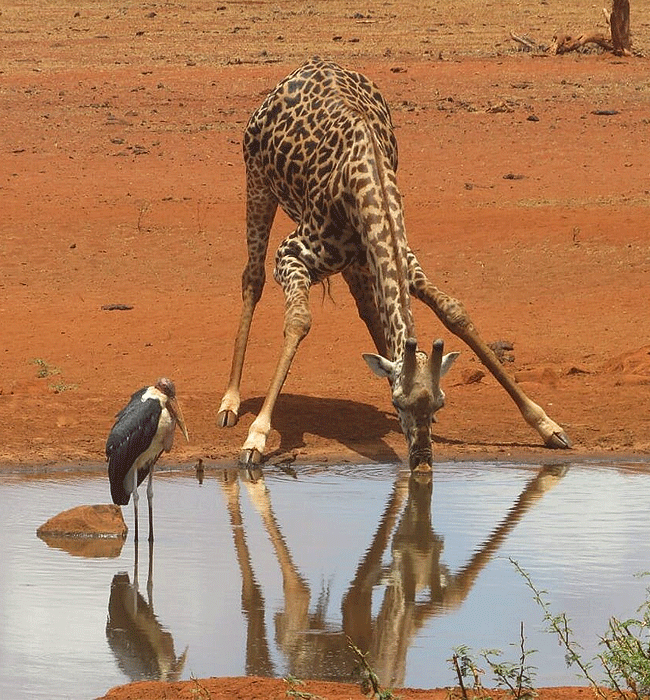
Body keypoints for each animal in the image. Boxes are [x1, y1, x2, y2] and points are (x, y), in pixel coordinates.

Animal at [216, 56, 568, 470]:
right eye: (397, 404)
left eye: (440, 405)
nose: (422, 460)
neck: (365, 181)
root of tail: (309, 64)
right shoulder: (291, 255)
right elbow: (299, 321)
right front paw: (256, 436)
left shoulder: (405, 258)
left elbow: (454, 311)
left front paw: (545, 423)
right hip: (257, 183)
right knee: (252, 278)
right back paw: (230, 401)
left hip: (356, 259)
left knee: (368, 307)